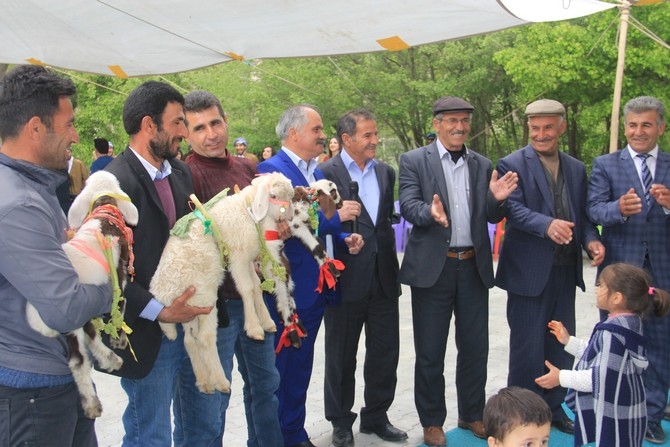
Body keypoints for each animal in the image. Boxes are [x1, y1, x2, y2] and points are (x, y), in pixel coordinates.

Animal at [25, 172, 139, 420]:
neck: (103, 211)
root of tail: (36, 316)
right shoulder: (119, 275)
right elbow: (121, 303)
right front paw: (119, 338)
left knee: (83, 348)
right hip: (74, 316)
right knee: (81, 357)